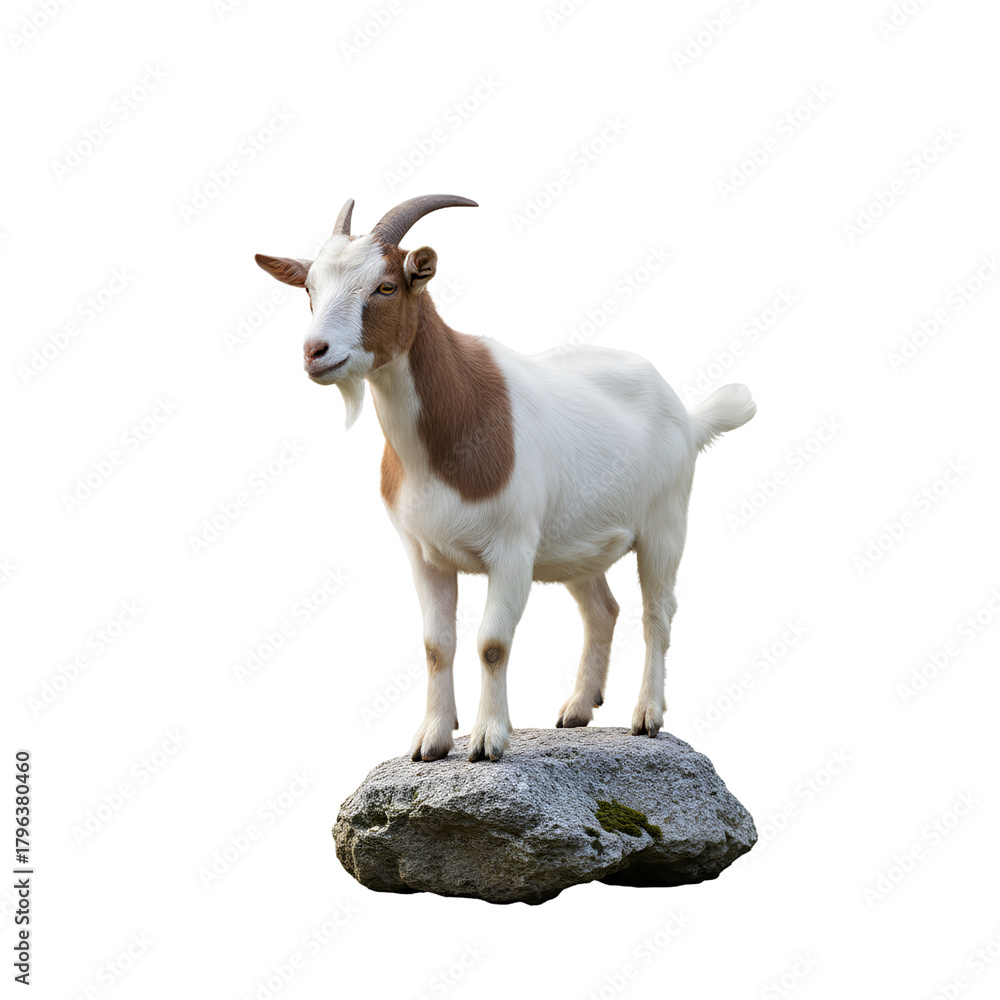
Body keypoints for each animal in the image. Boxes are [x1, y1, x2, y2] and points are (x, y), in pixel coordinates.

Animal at [256, 194, 756, 762]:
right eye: (310, 289)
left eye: (386, 286)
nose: (314, 352)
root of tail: (689, 417)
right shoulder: (422, 553)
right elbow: (436, 645)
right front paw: (431, 739)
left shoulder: (512, 547)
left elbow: (492, 643)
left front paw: (487, 739)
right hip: (574, 543)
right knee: (602, 610)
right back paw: (578, 708)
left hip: (664, 525)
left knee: (658, 613)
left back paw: (647, 715)